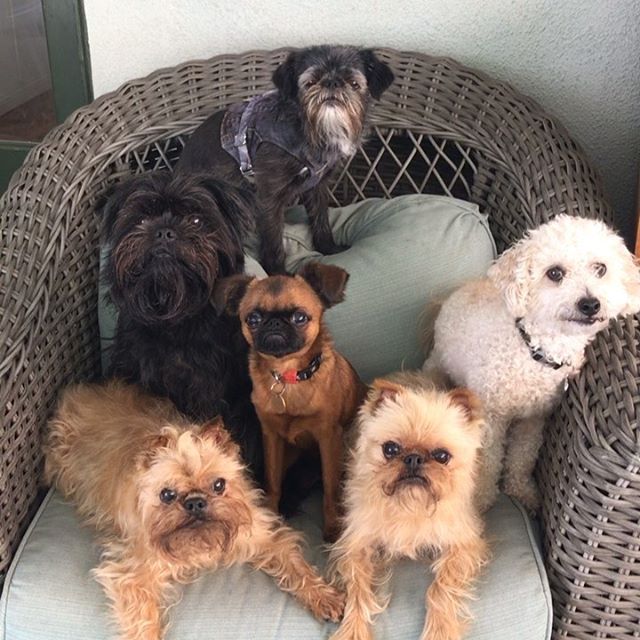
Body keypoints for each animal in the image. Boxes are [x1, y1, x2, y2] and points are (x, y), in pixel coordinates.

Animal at [45, 380, 344, 640]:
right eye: (167, 495)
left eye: (218, 485)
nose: (195, 502)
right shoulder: (133, 577)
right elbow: (143, 621)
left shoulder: (264, 536)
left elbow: (297, 567)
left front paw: (323, 596)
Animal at [215, 262, 364, 544]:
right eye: (253, 319)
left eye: (300, 318)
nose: (274, 323)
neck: (289, 376)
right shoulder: (271, 437)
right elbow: (272, 482)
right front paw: (271, 519)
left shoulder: (328, 437)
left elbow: (330, 488)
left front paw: (332, 528)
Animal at [332, 376, 488, 640]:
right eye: (390, 449)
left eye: (442, 456)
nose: (414, 458)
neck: (410, 505)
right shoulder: (356, 548)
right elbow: (358, 593)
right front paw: (353, 630)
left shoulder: (462, 547)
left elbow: (440, 590)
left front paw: (439, 630)